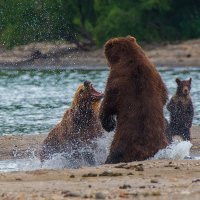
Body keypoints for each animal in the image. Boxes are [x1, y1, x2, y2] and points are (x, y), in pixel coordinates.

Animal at [99, 36, 168, 164]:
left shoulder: (117, 79)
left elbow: (109, 103)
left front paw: (109, 123)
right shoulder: (155, 76)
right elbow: (164, 95)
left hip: (122, 143)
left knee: (115, 153)